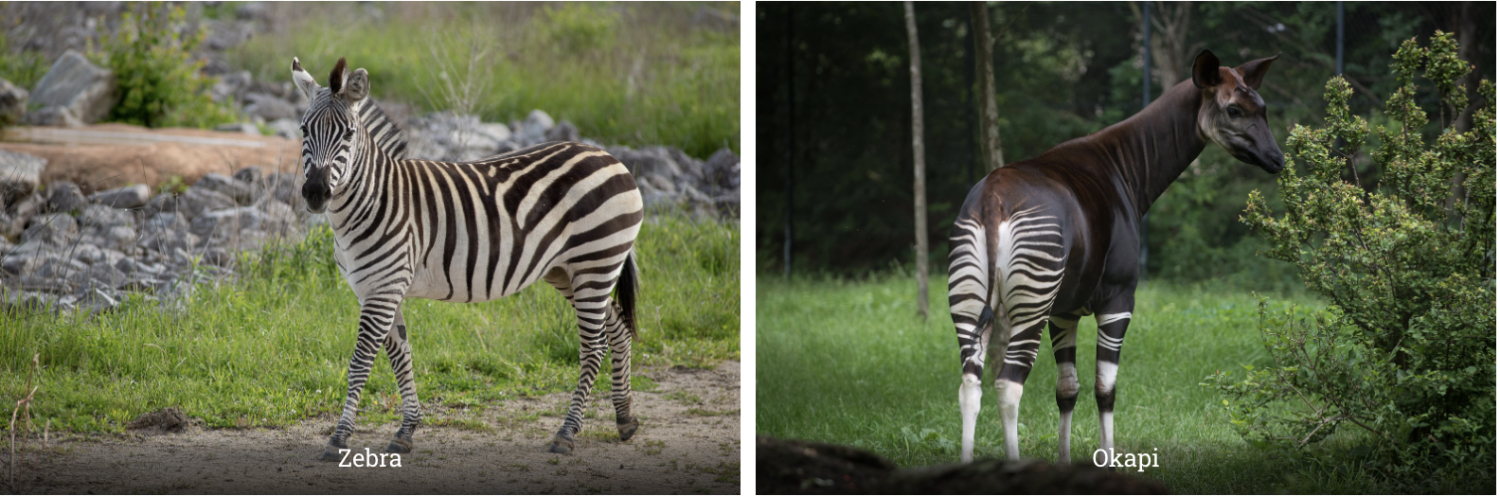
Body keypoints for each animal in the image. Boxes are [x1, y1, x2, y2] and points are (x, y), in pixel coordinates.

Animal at [292, 56, 645, 461]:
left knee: (593, 346)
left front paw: (339, 438)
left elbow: (361, 362)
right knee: (618, 329)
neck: (373, 200)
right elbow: (401, 356)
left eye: (348, 134)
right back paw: (624, 418)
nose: (315, 193)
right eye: (303, 129)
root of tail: (611, 158)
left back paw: (567, 432)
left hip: (595, 262)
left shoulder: (383, 290)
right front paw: (406, 430)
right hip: (570, 271)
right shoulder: (376, 290)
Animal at [948, 48, 1278, 464]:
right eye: (1234, 110)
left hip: (971, 302)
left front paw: (1065, 464)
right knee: (1008, 386)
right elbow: (1106, 390)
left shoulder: (1064, 310)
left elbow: (1067, 390)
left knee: (970, 385)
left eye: (1264, 108)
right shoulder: (1119, 299)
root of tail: (993, 199)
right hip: (1030, 303)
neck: (1125, 169)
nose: (1278, 158)